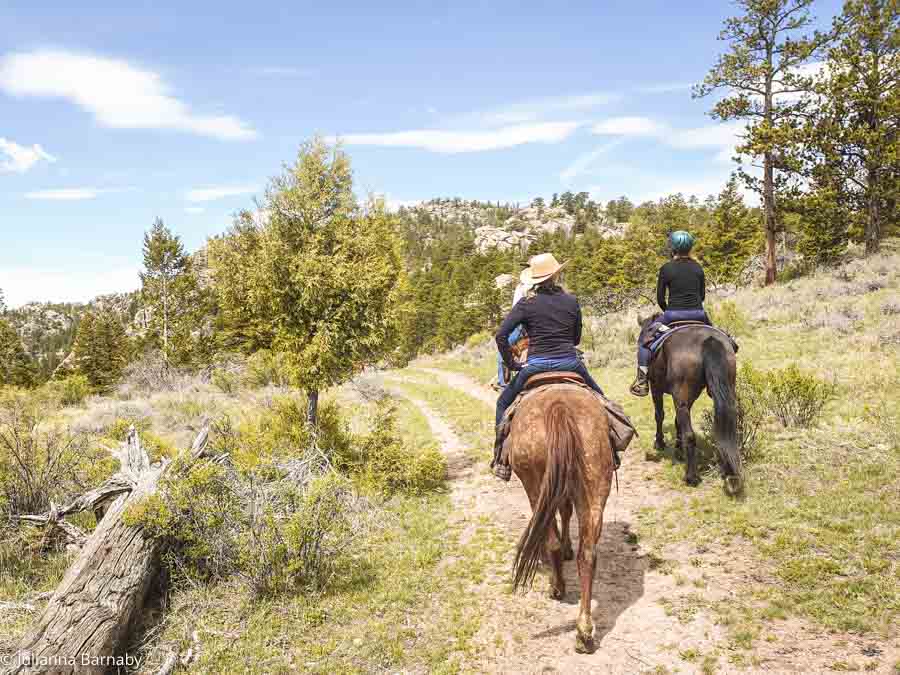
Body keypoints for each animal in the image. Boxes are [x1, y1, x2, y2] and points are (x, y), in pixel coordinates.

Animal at [502, 386, 616, 656]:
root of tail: (560, 406)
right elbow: (565, 511)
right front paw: (568, 548)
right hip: (595, 487)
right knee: (588, 555)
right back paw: (584, 633)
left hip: (534, 485)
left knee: (550, 540)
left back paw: (557, 587)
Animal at [644, 314, 740, 494]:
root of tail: (709, 340)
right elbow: (676, 422)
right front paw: (677, 449)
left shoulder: (655, 387)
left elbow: (659, 415)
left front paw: (659, 442)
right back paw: (729, 472)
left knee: (690, 435)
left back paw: (691, 477)